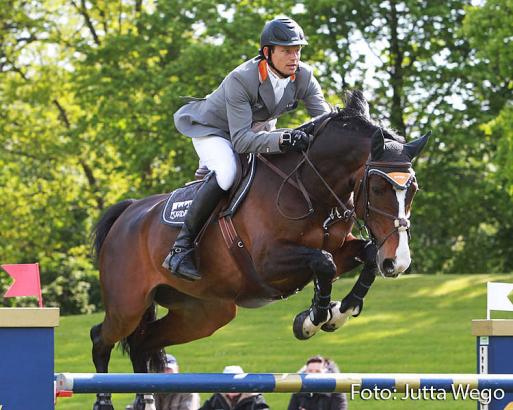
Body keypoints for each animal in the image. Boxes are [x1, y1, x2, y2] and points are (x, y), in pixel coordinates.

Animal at [91, 90, 428, 410]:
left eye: (413, 189)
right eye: (378, 188)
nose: (398, 262)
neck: (309, 186)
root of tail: (129, 211)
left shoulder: (340, 249)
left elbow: (365, 256)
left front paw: (339, 312)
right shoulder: (268, 263)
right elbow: (324, 263)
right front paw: (312, 319)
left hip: (203, 313)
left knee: (144, 343)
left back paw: (145, 399)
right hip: (128, 305)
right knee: (102, 338)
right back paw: (103, 400)